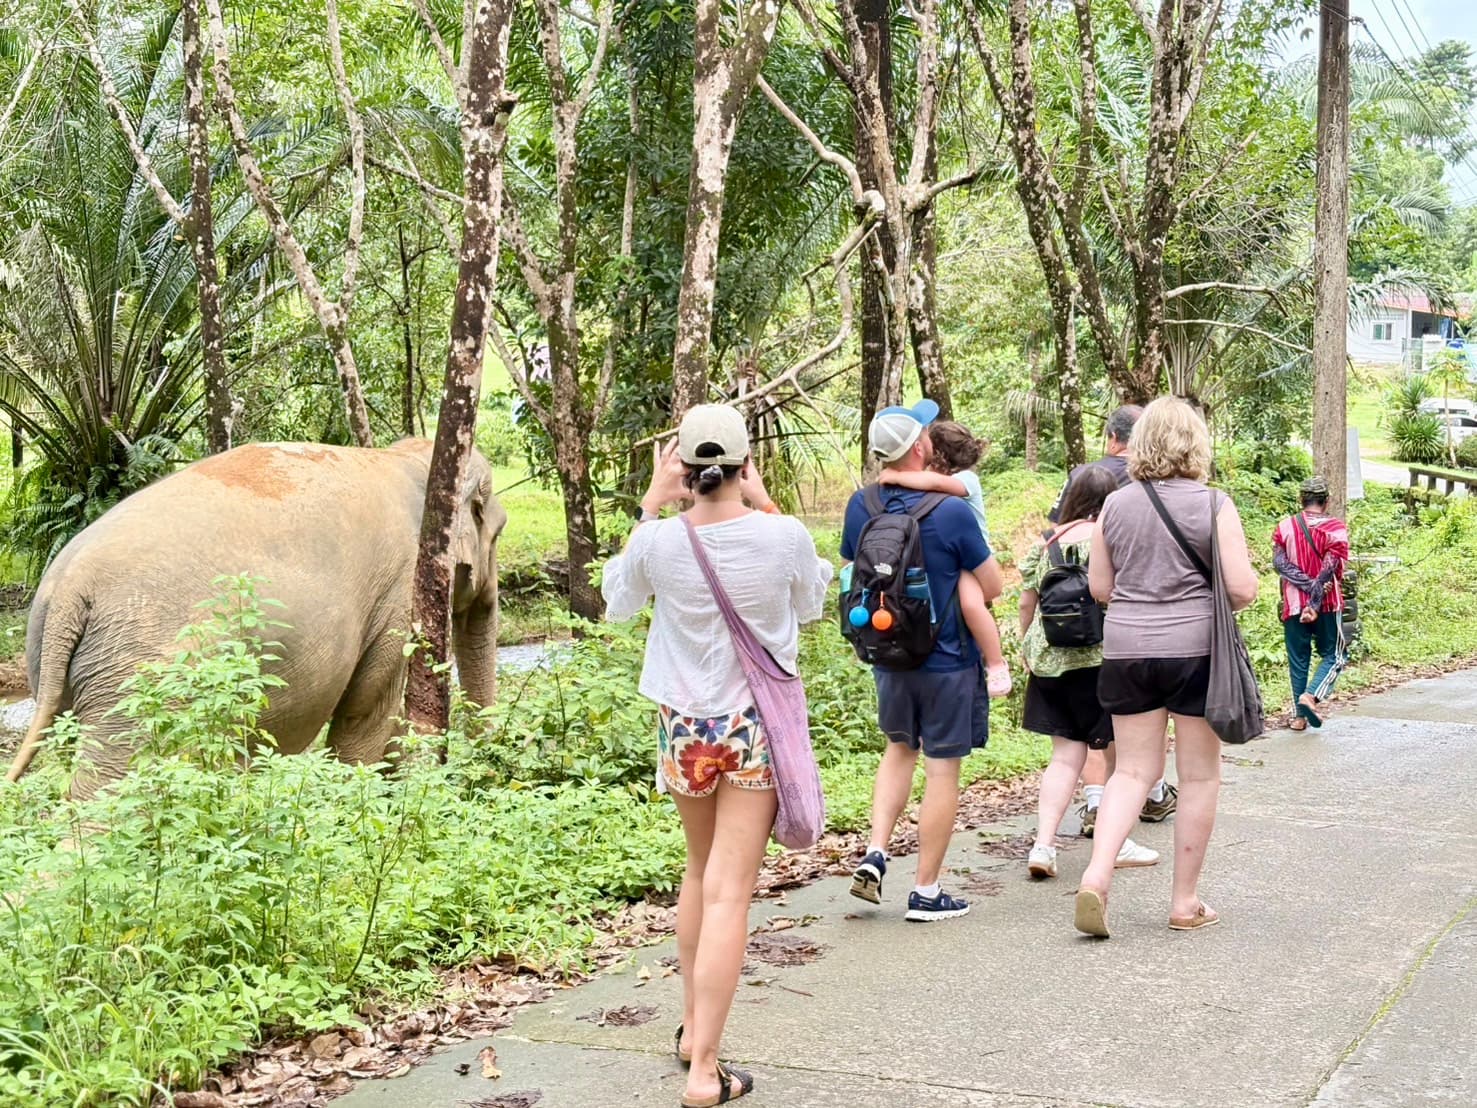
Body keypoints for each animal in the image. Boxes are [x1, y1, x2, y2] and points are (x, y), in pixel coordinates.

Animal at [5, 439, 505, 800]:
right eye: (497, 534)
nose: (484, 773)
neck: (407, 454)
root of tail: (69, 590)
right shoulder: (398, 588)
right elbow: (368, 709)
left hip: (61, 668)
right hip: (139, 678)